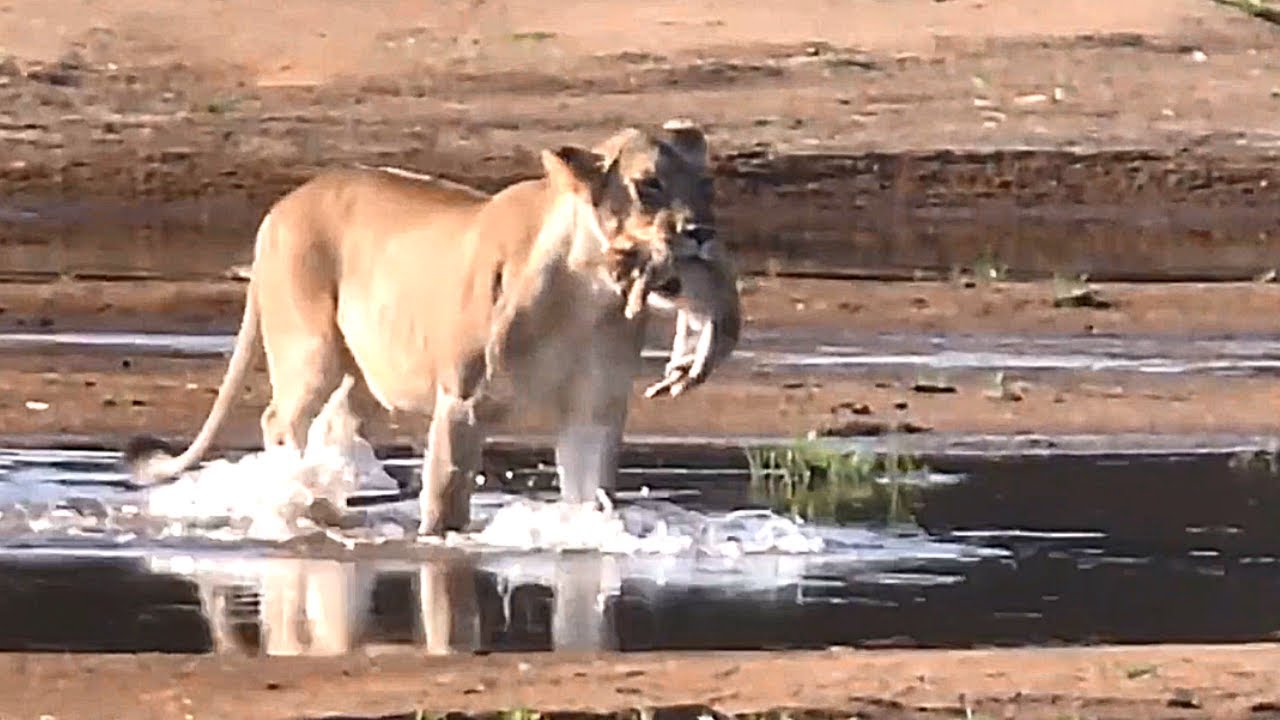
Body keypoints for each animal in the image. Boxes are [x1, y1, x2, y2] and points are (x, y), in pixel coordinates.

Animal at [124, 119, 741, 536]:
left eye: (706, 186)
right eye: (648, 184)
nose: (703, 233)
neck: (584, 295)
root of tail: (283, 205)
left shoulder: (595, 413)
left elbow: (589, 498)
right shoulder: (461, 402)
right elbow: (446, 497)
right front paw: (439, 545)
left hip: (366, 374)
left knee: (334, 422)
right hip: (310, 352)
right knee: (282, 418)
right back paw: (297, 498)